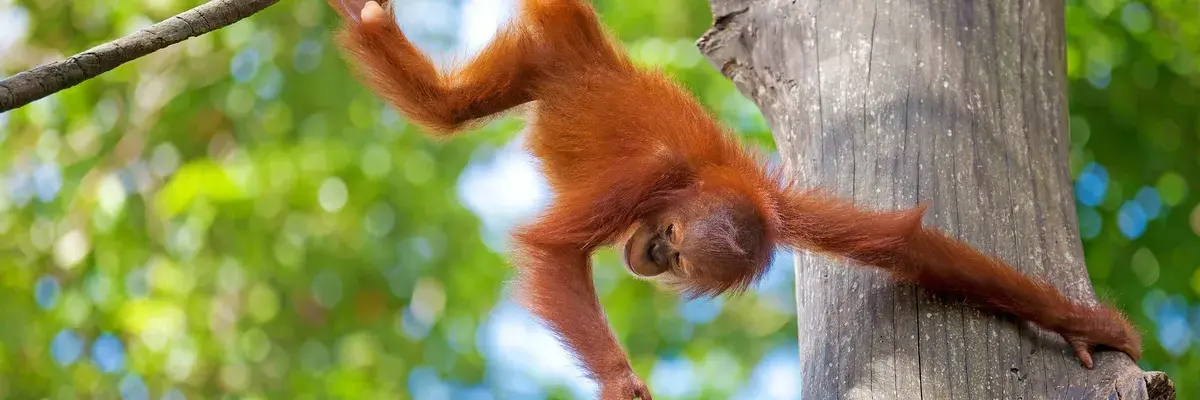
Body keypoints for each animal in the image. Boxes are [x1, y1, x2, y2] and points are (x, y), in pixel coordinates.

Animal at [324, 0, 1142, 398]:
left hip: (534, 57)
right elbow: (551, 250)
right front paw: (622, 386)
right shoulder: (643, 180)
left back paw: (369, 20)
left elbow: (901, 242)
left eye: (676, 258)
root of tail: (594, 45)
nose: (648, 260)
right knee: (446, 113)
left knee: (447, 108)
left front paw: (1089, 326)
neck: (694, 182)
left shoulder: (782, 210)